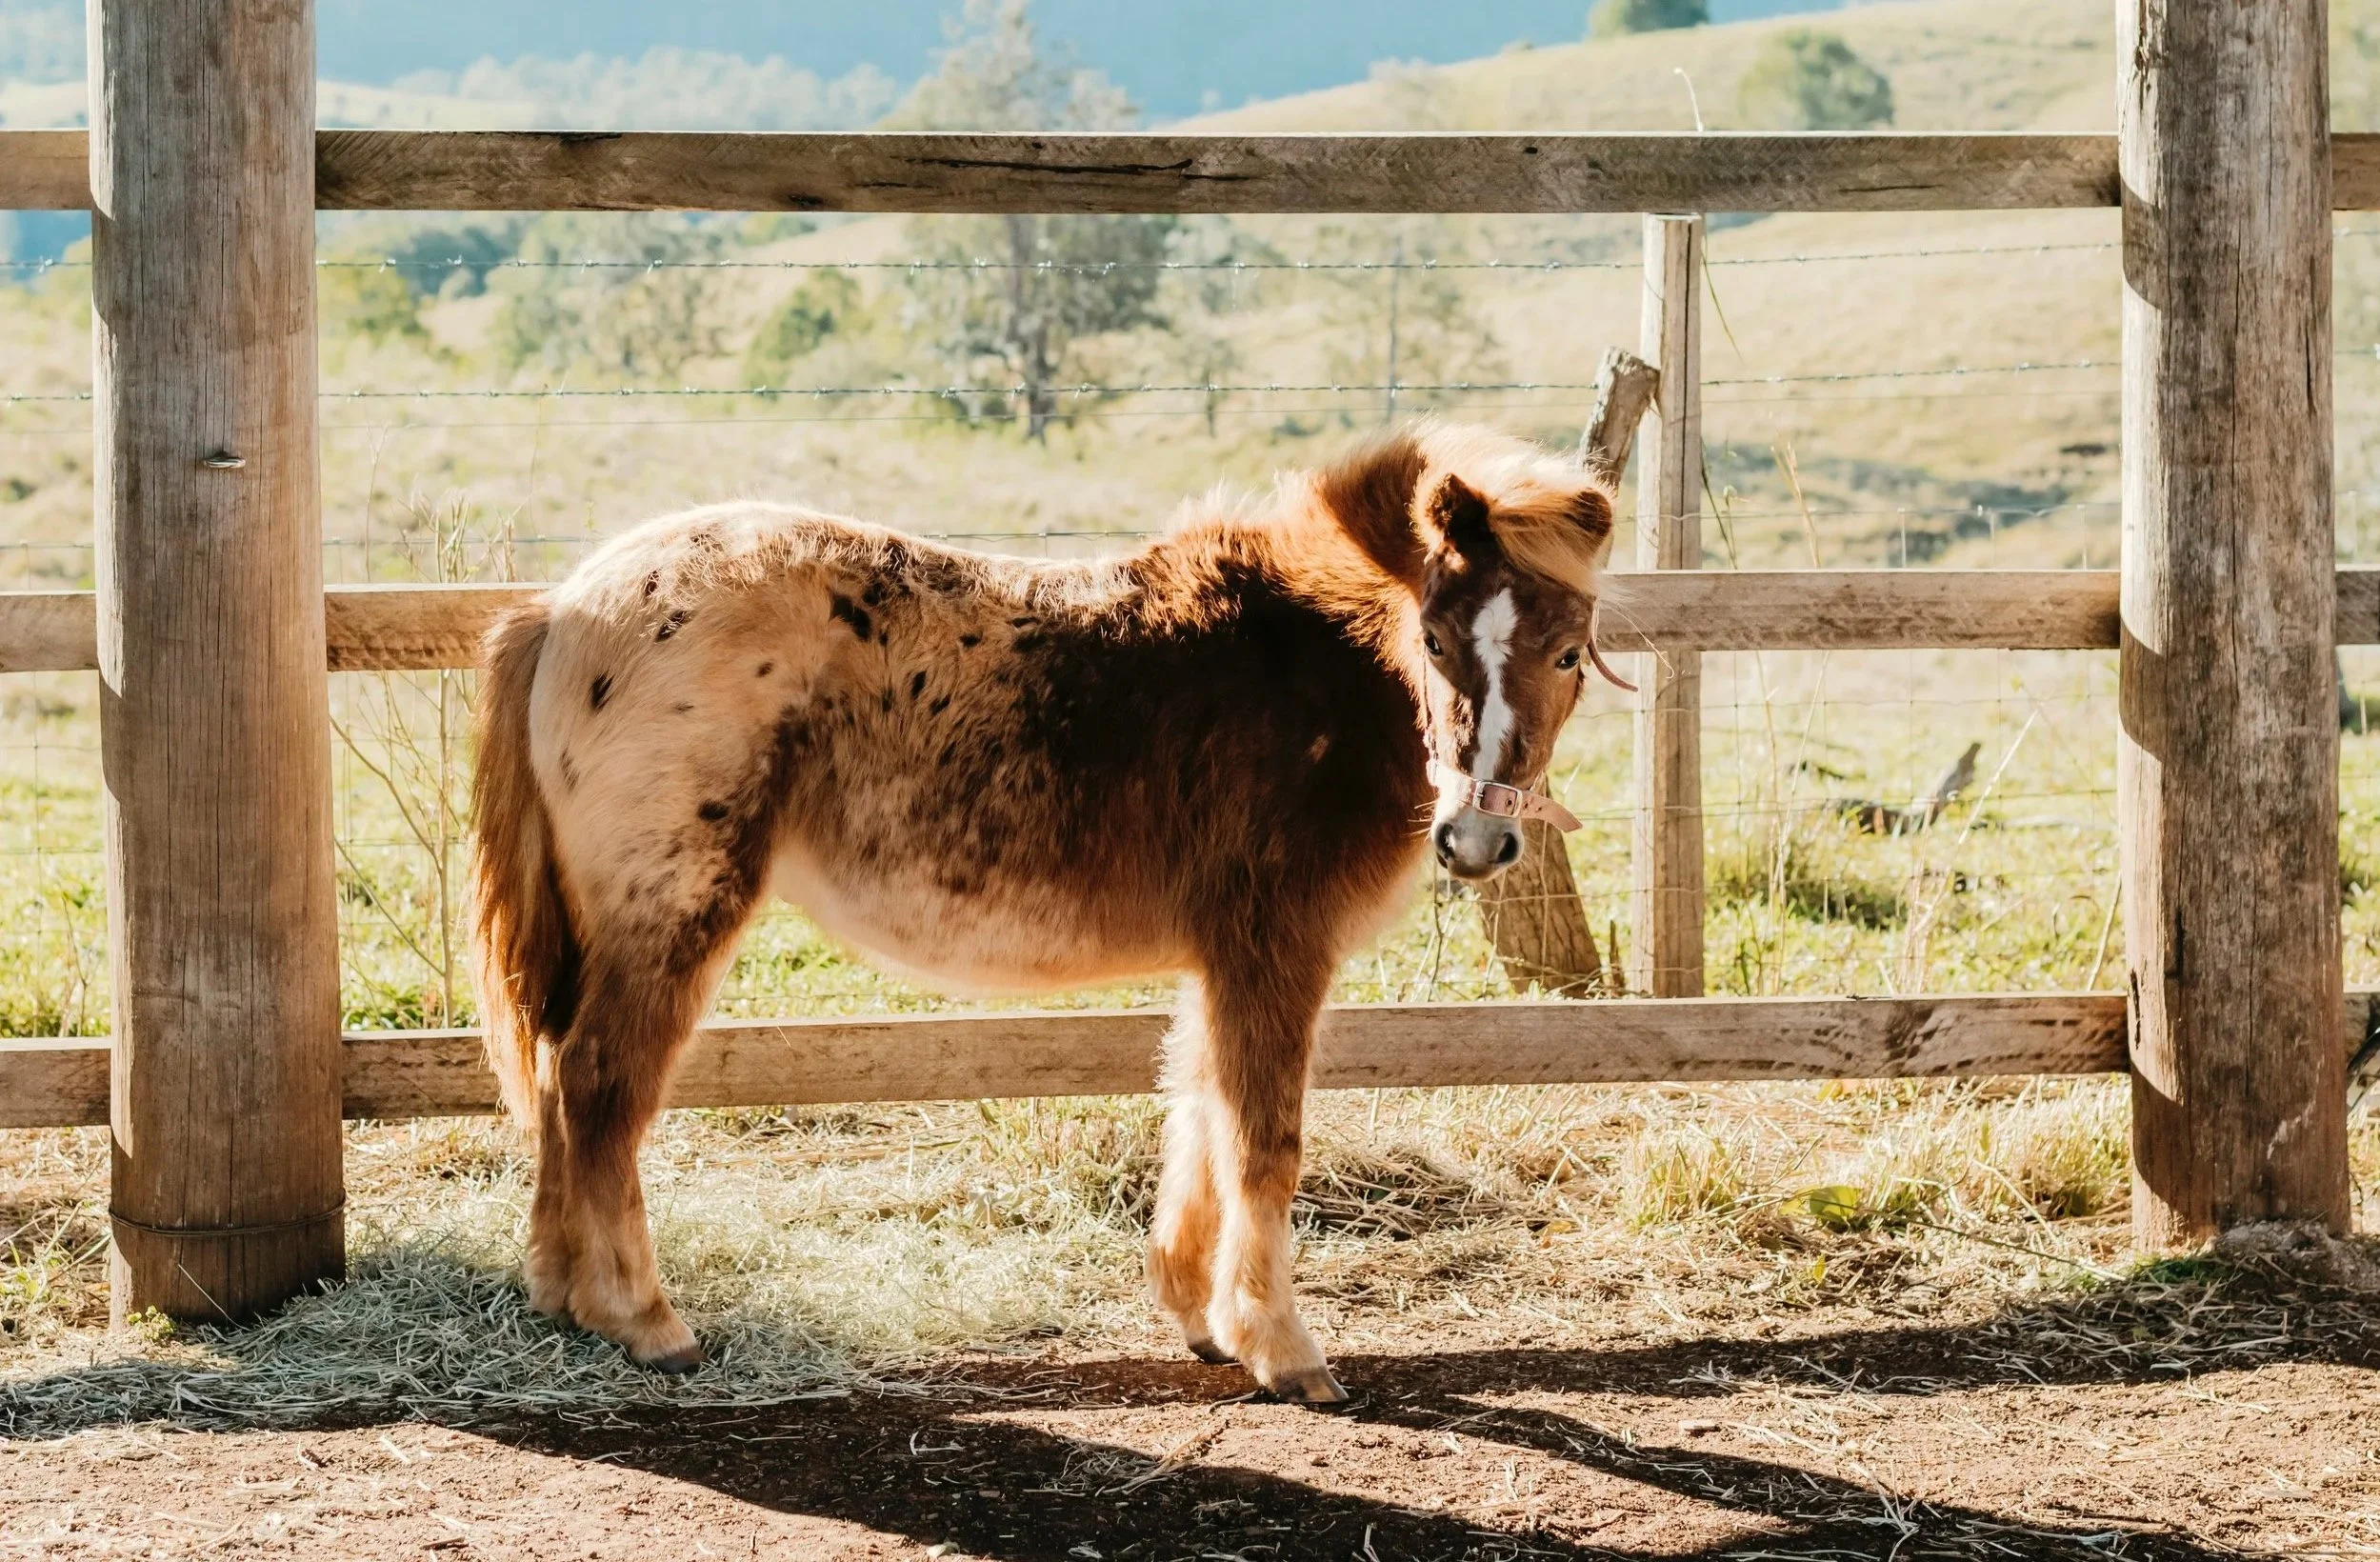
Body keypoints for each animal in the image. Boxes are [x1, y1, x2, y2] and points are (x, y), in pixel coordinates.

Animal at [468, 421, 1624, 1404]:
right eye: (1433, 639)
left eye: (1569, 651)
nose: (1476, 840)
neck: (1308, 661)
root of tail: (563, 606)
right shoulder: (1274, 949)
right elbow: (1264, 1139)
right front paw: (1284, 1349)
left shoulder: (1222, 959)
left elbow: (1198, 1108)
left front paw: (1200, 1315)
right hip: (674, 916)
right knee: (600, 1083)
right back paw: (646, 1319)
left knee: (558, 1078)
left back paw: (560, 1294)